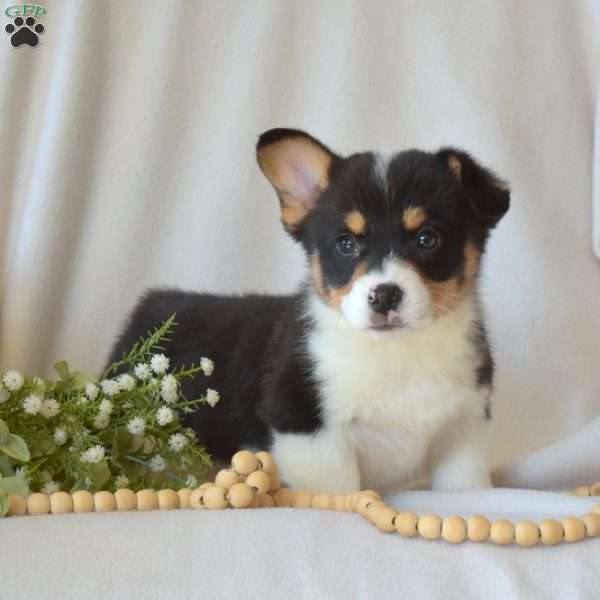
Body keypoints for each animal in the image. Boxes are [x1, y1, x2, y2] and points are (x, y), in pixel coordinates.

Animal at [105, 127, 508, 492]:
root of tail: (150, 304)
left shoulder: (463, 432)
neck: (398, 353)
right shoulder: (308, 433)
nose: (384, 296)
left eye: (427, 238)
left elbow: (468, 488)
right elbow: (339, 492)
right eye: (346, 244)